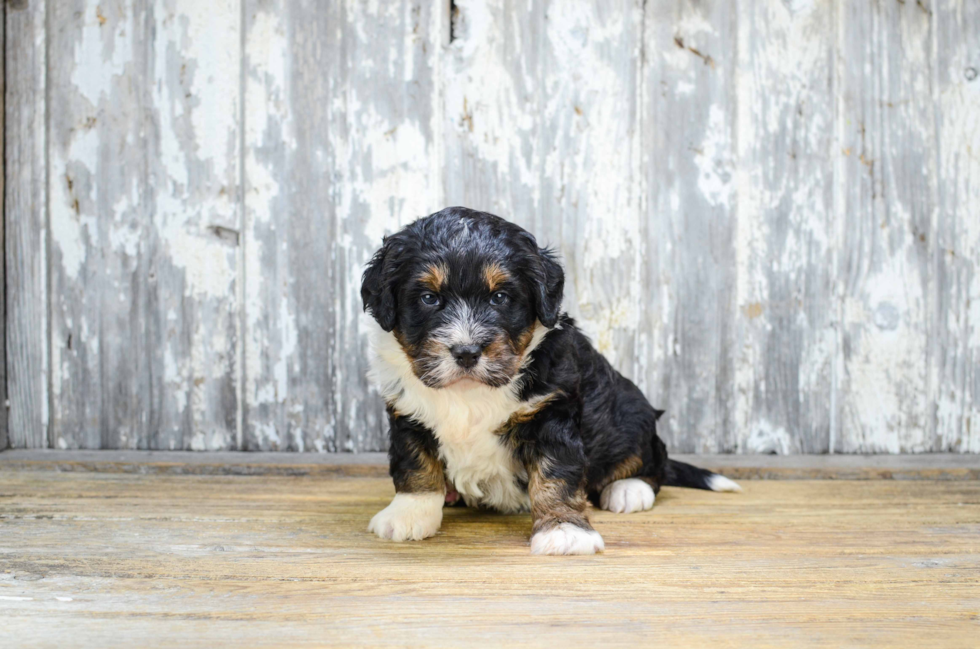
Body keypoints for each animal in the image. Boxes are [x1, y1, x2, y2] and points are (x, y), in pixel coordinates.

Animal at [364, 205, 740, 556]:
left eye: (499, 297)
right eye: (429, 298)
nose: (467, 352)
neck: (470, 393)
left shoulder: (551, 414)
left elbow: (556, 475)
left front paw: (564, 530)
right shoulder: (408, 414)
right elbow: (415, 465)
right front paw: (408, 515)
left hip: (632, 415)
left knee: (652, 460)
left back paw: (629, 489)